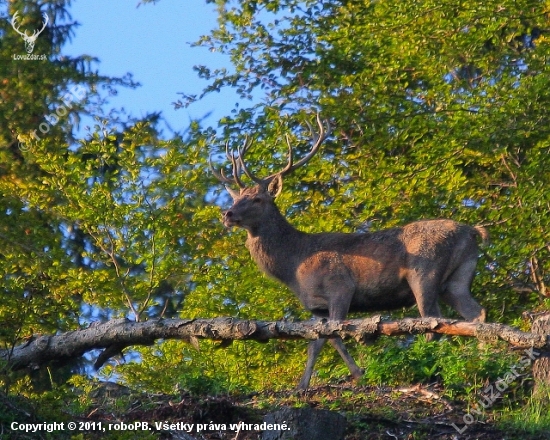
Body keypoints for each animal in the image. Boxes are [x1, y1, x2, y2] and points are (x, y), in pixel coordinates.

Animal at [211, 114, 488, 388]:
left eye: (257, 199)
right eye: (237, 198)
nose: (228, 214)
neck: (294, 266)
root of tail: (471, 231)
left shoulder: (340, 288)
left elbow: (334, 336)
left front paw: (358, 374)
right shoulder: (316, 309)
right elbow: (315, 343)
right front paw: (302, 386)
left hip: (424, 273)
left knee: (432, 323)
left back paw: (426, 366)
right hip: (457, 278)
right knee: (475, 315)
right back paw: (483, 359)